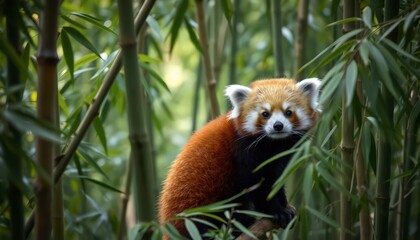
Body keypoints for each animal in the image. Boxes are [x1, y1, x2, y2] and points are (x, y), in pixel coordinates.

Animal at [159, 77, 320, 238]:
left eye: (288, 112)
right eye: (265, 114)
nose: (278, 125)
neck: (273, 144)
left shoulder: (281, 157)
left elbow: (276, 178)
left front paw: (284, 203)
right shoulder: (244, 152)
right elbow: (257, 185)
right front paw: (276, 211)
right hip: (200, 211)